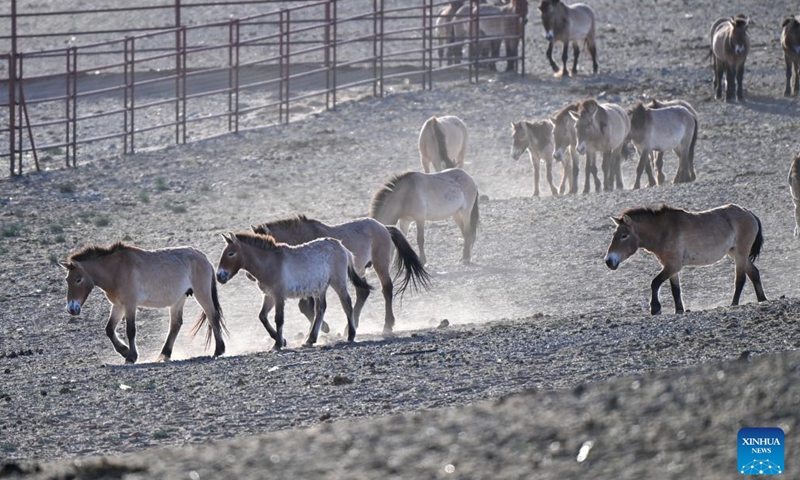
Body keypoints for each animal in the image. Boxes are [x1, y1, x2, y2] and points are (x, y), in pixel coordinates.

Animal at [60, 242, 226, 364]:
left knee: (212, 316)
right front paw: (124, 350)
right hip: (179, 299)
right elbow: (109, 329)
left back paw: (219, 350)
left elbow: (131, 330)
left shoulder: (130, 305)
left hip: (201, 293)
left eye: (78, 279)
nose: (71, 309)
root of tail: (204, 258)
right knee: (175, 325)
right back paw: (163, 355)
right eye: (67, 279)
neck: (116, 270)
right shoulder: (118, 306)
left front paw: (131, 357)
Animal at [216, 232, 373, 350]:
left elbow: (279, 318)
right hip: (320, 288)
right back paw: (310, 339)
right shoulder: (269, 296)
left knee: (346, 304)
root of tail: (342, 247)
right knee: (320, 309)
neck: (269, 262)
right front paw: (281, 340)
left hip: (338, 283)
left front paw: (278, 344)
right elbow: (262, 316)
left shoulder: (278, 295)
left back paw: (351, 335)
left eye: (231, 253)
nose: (219, 276)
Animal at [251, 216, 430, 335]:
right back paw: (350, 327)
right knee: (363, 292)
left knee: (387, 289)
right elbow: (305, 306)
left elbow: (307, 306)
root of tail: (384, 227)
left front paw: (323, 328)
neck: (302, 238)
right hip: (359, 271)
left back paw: (387, 325)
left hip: (380, 264)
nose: (252, 276)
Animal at [604, 204, 767, 315]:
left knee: (740, 279)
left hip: (740, 254)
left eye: (624, 235)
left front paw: (655, 308)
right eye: (613, 234)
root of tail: (749, 213)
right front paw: (679, 310)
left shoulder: (673, 265)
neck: (663, 231)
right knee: (754, 273)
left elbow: (655, 283)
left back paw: (734, 304)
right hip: (736, 254)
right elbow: (675, 289)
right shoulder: (670, 267)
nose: (609, 261)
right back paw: (762, 299)